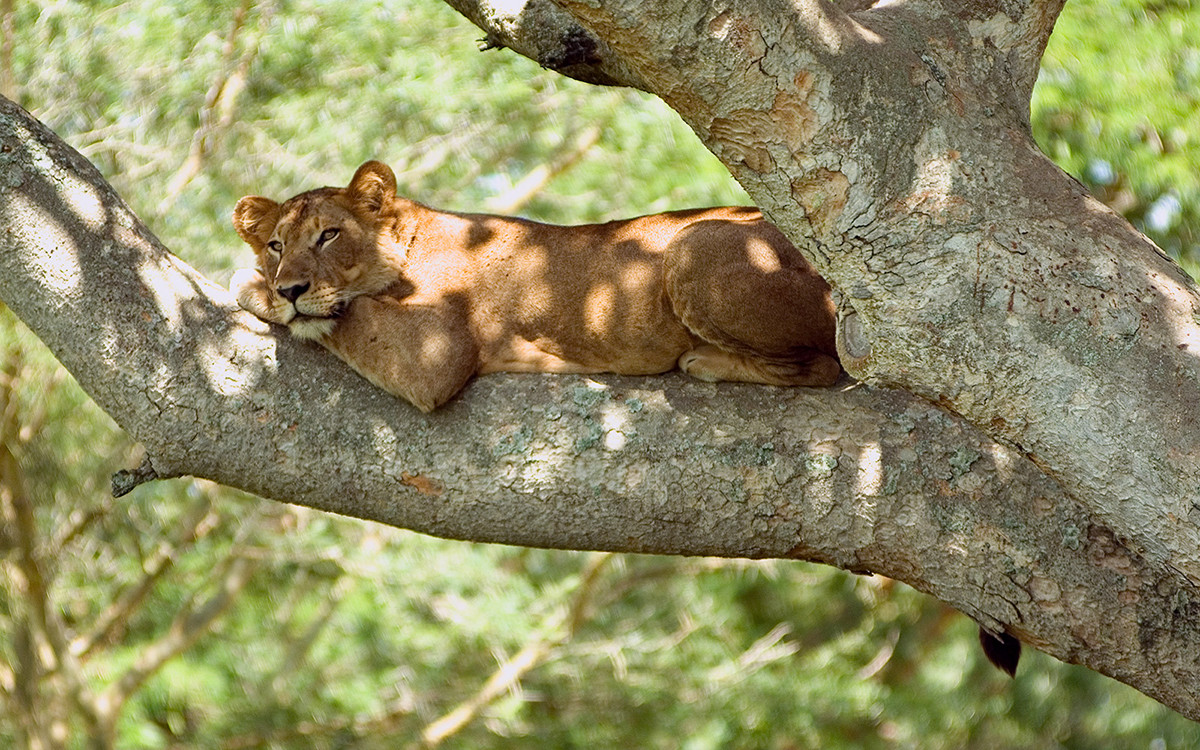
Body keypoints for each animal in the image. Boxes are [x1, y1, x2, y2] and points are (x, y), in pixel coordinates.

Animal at [230, 160, 839, 412]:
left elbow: (351, 316)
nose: (290, 288)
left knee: (824, 367)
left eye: (329, 235)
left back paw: (705, 360)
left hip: (693, 245)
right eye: (276, 245)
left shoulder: (436, 358)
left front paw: (253, 285)